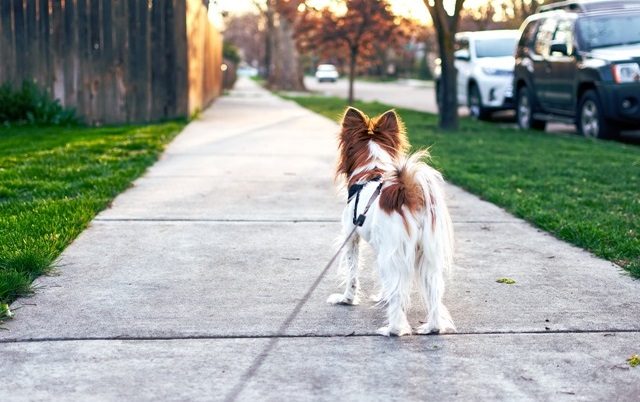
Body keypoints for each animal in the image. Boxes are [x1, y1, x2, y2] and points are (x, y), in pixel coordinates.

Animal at [330, 106, 456, 336]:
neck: (372, 169)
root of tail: (408, 192)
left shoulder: (352, 238)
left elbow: (352, 273)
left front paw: (346, 299)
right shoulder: (382, 248)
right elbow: (383, 281)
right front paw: (382, 296)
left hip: (396, 251)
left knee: (399, 293)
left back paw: (393, 329)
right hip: (426, 255)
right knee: (434, 291)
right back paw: (432, 327)